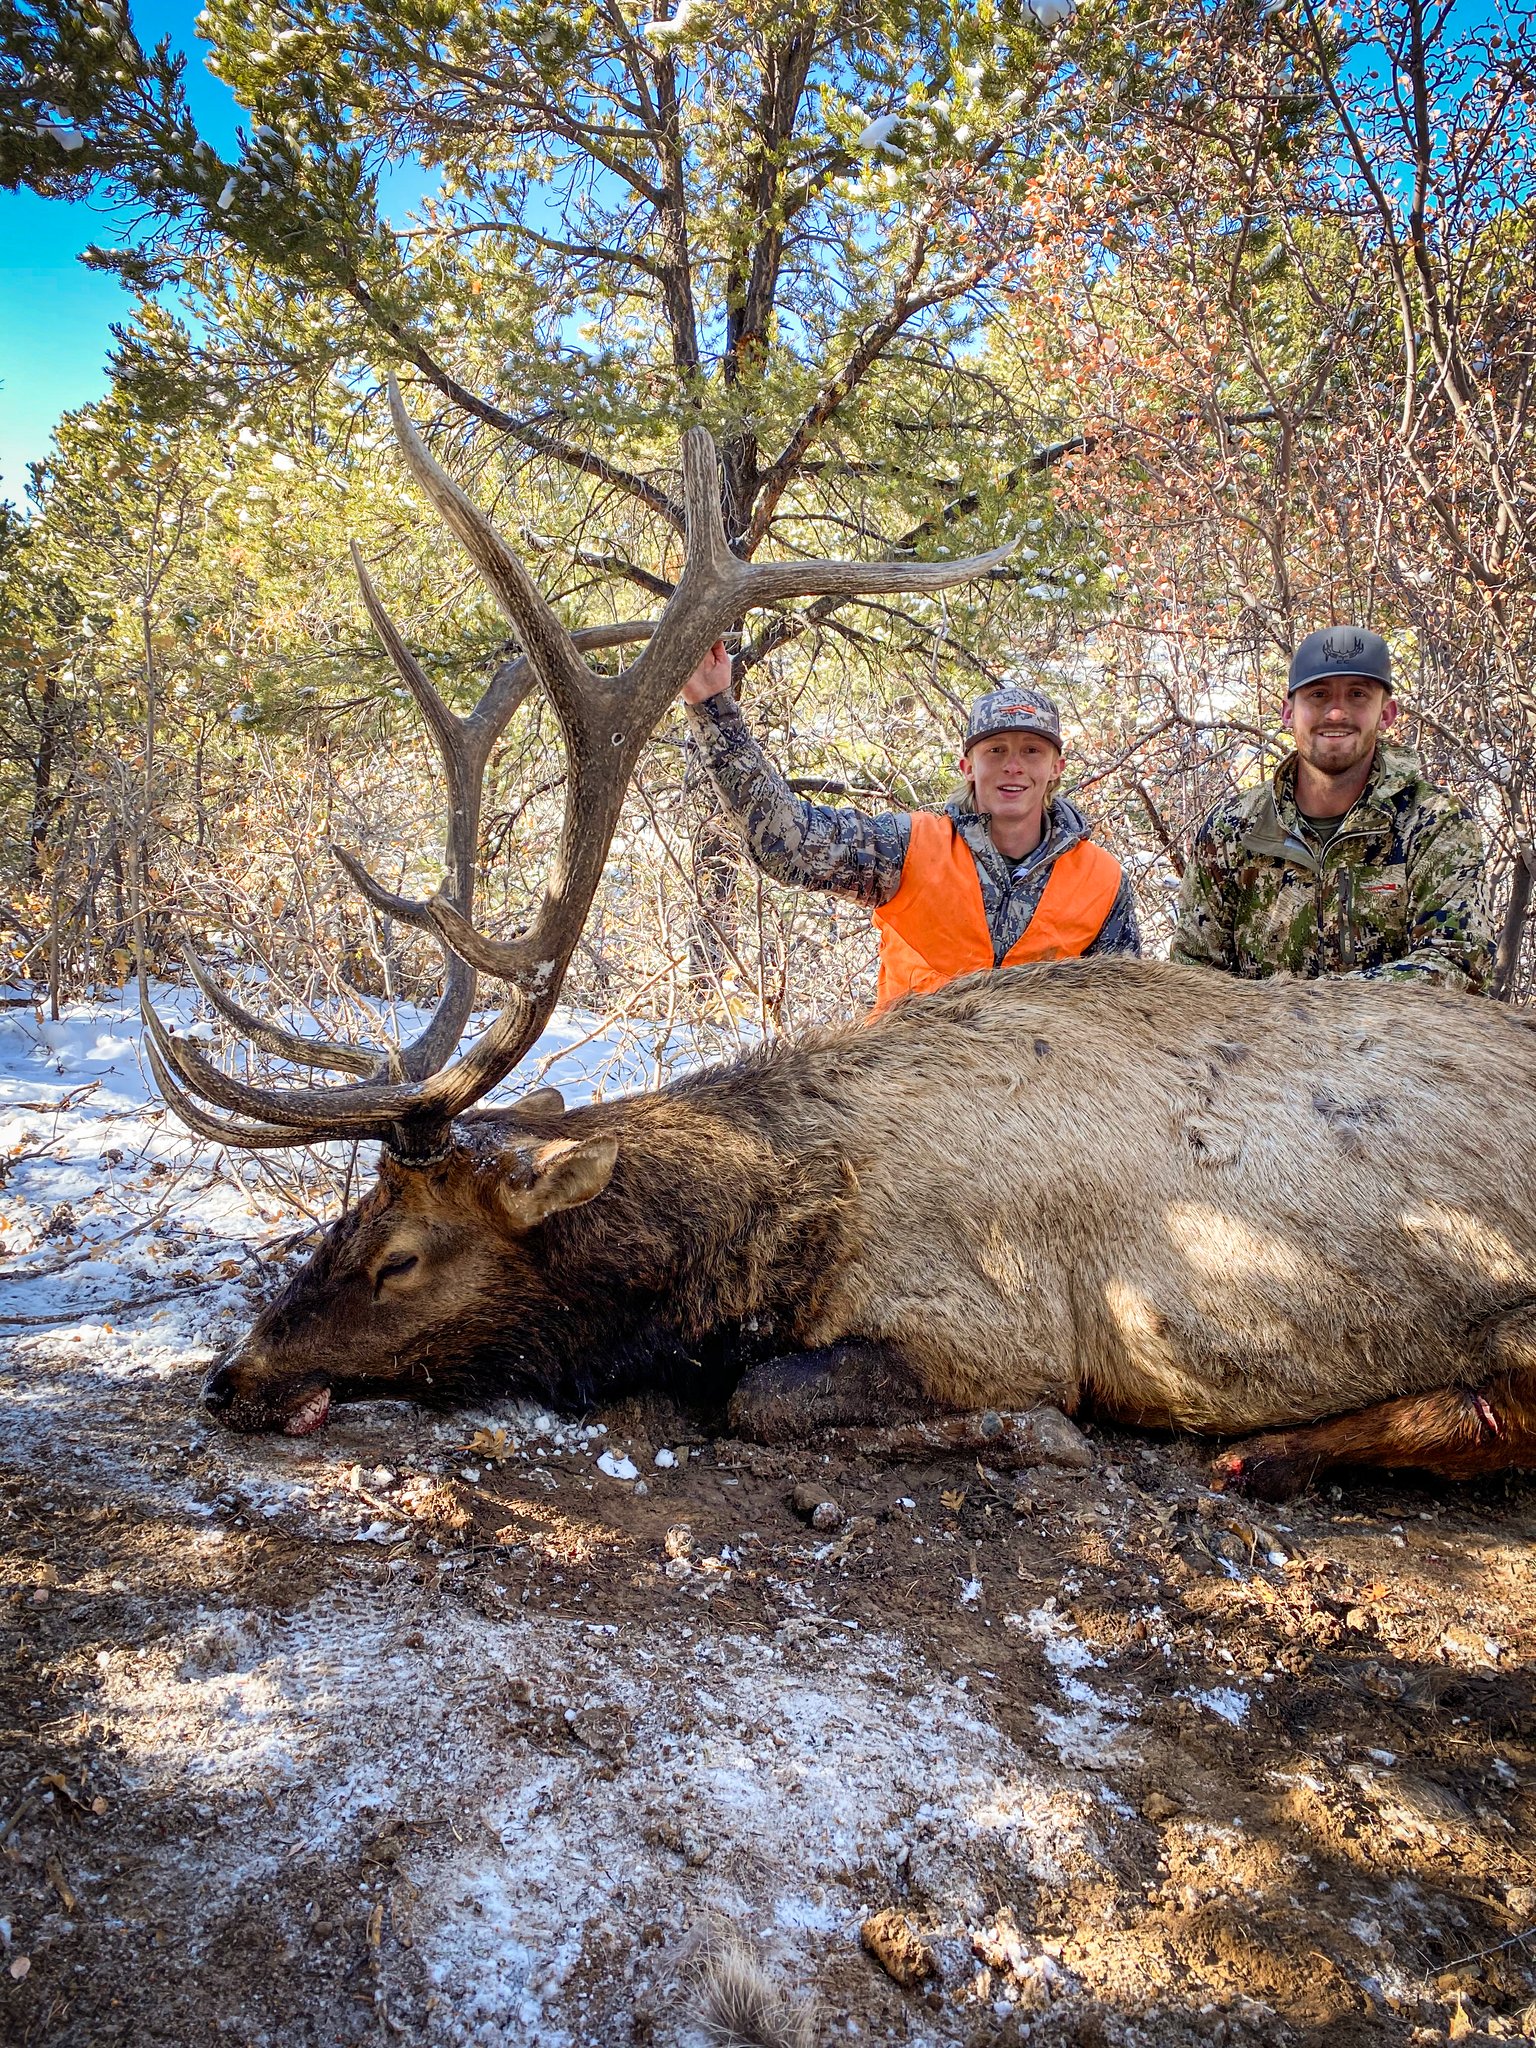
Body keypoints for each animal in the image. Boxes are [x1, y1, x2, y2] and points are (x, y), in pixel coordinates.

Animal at [142, 385, 1536, 1502]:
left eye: (401, 1255)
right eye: (341, 1219)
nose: (231, 1374)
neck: (769, 1231)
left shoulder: (993, 1325)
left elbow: (762, 1400)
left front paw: (1035, 1437)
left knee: (1498, 1412)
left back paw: (1273, 1448)